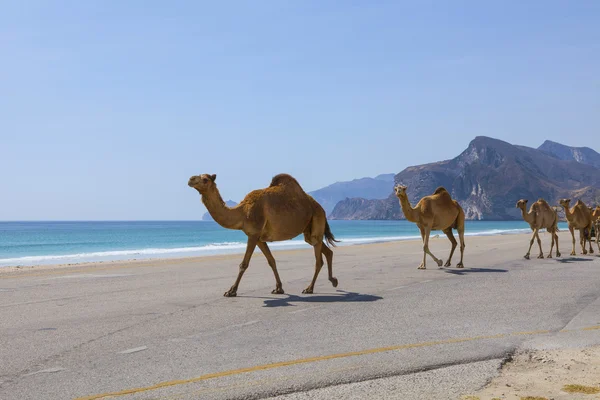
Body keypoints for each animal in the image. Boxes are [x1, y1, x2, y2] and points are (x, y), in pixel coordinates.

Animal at [189, 173, 338, 296]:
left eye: (205, 179)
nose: (190, 179)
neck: (243, 212)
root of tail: (321, 208)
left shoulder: (253, 233)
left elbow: (244, 264)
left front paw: (231, 291)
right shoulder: (259, 238)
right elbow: (271, 261)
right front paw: (279, 288)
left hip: (317, 219)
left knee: (318, 260)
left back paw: (309, 288)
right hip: (308, 231)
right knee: (326, 250)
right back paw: (333, 280)